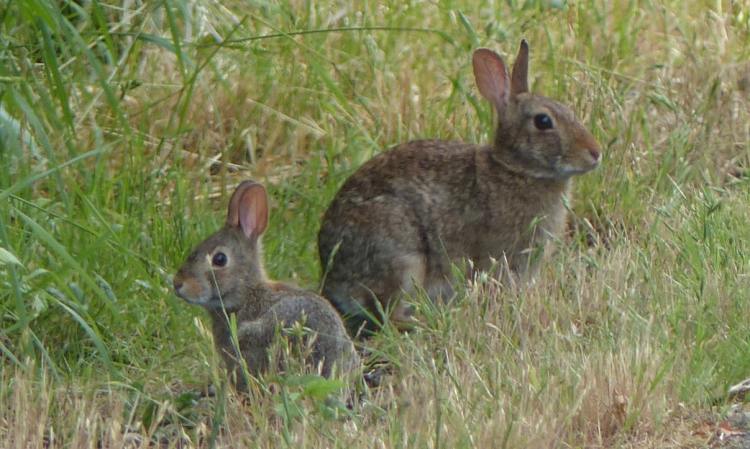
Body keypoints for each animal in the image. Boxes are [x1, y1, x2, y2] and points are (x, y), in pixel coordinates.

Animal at [318, 40, 601, 335]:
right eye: (543, 122)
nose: (595, 153)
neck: (516, 170)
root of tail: (332, 275)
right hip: (402, 260)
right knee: (389, 314)